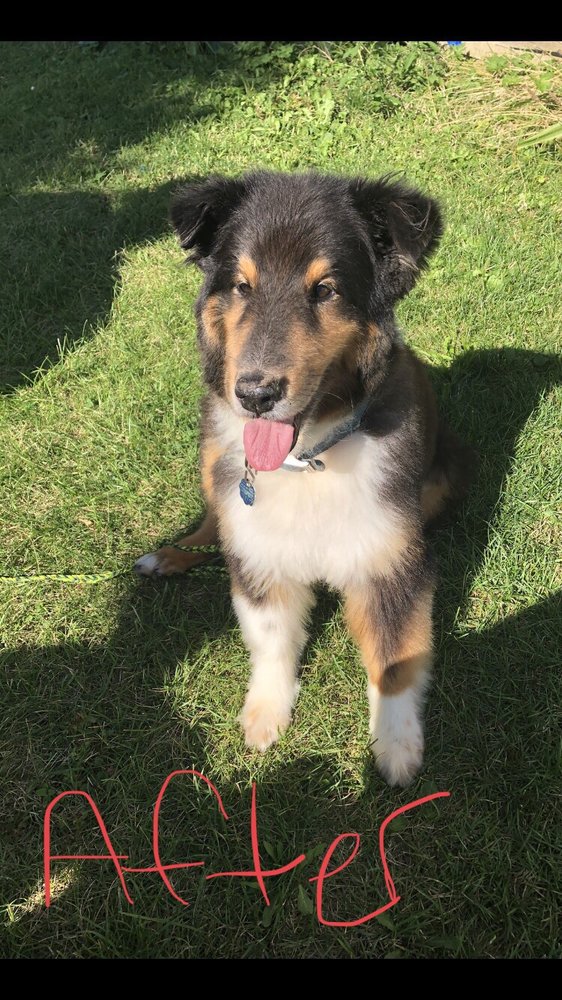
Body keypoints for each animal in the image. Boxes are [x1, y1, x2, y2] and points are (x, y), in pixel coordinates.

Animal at [135, 170, 473, 786]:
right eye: (241, 286)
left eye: (326, 290)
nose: (255, 394)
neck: (308, 459)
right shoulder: (259, 548)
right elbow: (271, 638)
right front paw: (264, 714)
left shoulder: (392, 561)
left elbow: (396, 660)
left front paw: (396, 749)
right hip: (213, 463)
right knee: (213, 525)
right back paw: (169, 555)